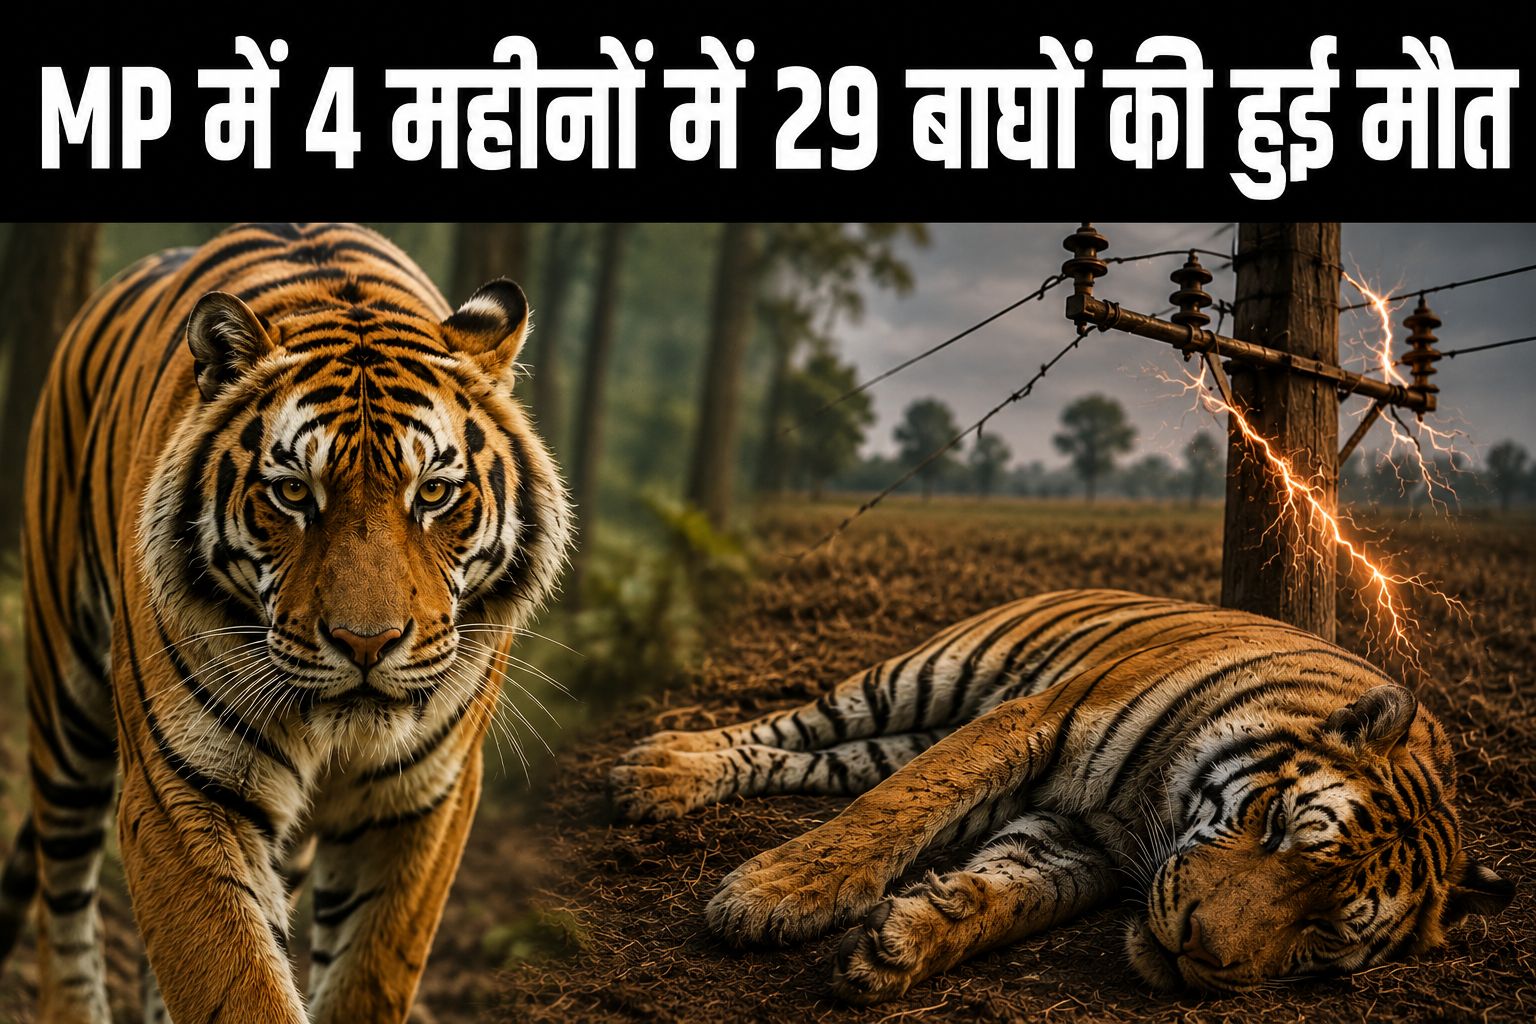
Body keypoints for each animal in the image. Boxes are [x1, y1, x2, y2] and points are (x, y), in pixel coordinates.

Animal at [0, 222, 574, 1023]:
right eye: (295, 493)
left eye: (432, 493)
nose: (367, 643)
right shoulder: (182, 788)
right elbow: (233, 979)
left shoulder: (424, 800)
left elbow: (369, 974)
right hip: (66, 706)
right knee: (63, 899)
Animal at [609, 588, 1514, 1004]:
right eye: (1281, 827)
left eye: (1324, 931)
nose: (1194, 948)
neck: (1151, 813)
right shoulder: (1037, 718)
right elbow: (900, 806)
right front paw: (771, 894)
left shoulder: (1081, 844)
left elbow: (1003, 895)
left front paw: (902, 945)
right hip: (919, 679)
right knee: (794, 726)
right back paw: (657, 767)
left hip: (900, 728)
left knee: (815, 761)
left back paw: (658, 776)